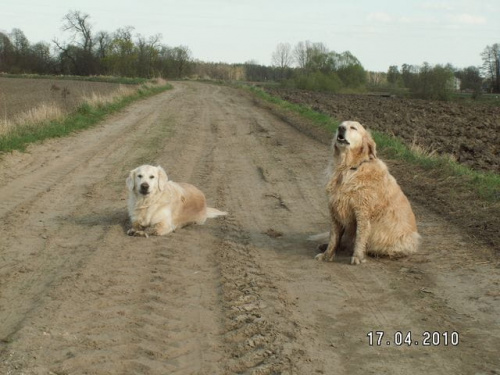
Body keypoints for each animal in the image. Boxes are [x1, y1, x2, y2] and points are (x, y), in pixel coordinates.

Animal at [314, 122, 420, 266]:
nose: (340, 128)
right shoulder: (335, 209)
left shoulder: (362, 212)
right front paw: (327, 254)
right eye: (341, 124)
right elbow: (333, 237)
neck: (348, 168)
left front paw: (357, 256)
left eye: (353, 128)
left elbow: (360, 236)